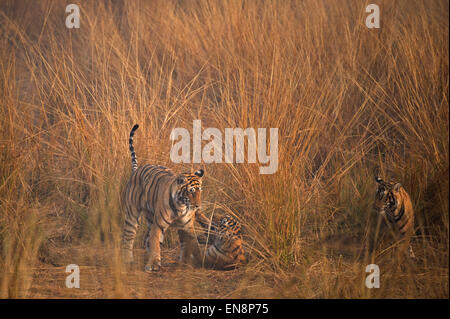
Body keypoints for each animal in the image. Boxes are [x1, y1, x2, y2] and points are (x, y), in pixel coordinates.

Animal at [119, 125, 204, 272]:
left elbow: (193, 244)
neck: (181, 206)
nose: (198, 206)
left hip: (149, 215)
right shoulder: (158, 224)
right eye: (191, 192)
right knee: (128, 237)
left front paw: (196, 261)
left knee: (147, 239)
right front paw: (153, 264)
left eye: (200, 191)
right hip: (132, 214)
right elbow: (155, 243)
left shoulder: (187, 226)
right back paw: (128, 260)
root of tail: (137, 169)